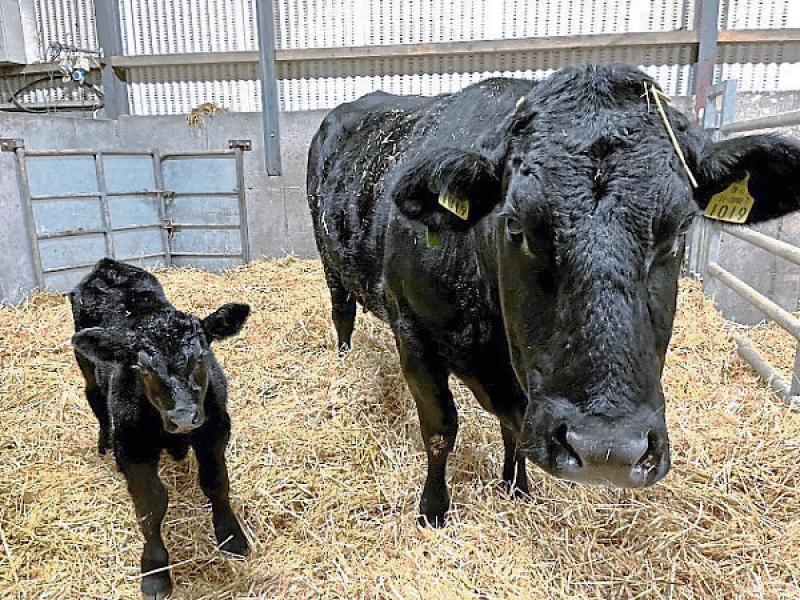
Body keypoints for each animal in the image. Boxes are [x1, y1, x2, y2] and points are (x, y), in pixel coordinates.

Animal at [69, 258, 251, 599]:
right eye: (142, 368)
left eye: (201, 357)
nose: (184, 417)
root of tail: (106, 265)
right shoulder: (132, 448)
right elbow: (151, 506)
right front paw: (154, 571)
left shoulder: (215, 429)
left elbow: (216, 482)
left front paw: (231, 537)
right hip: (85, 366)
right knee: (94, 397)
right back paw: (103, 443)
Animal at [307, 64, 800, 526]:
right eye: (515, 224)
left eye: (680, 229)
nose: (608, 451)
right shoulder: (413, 333)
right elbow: (440, 430)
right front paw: (433, 509)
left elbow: (513, 426)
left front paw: (516, 486)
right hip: (331, 261)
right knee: (341, 314)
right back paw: (343, 360)